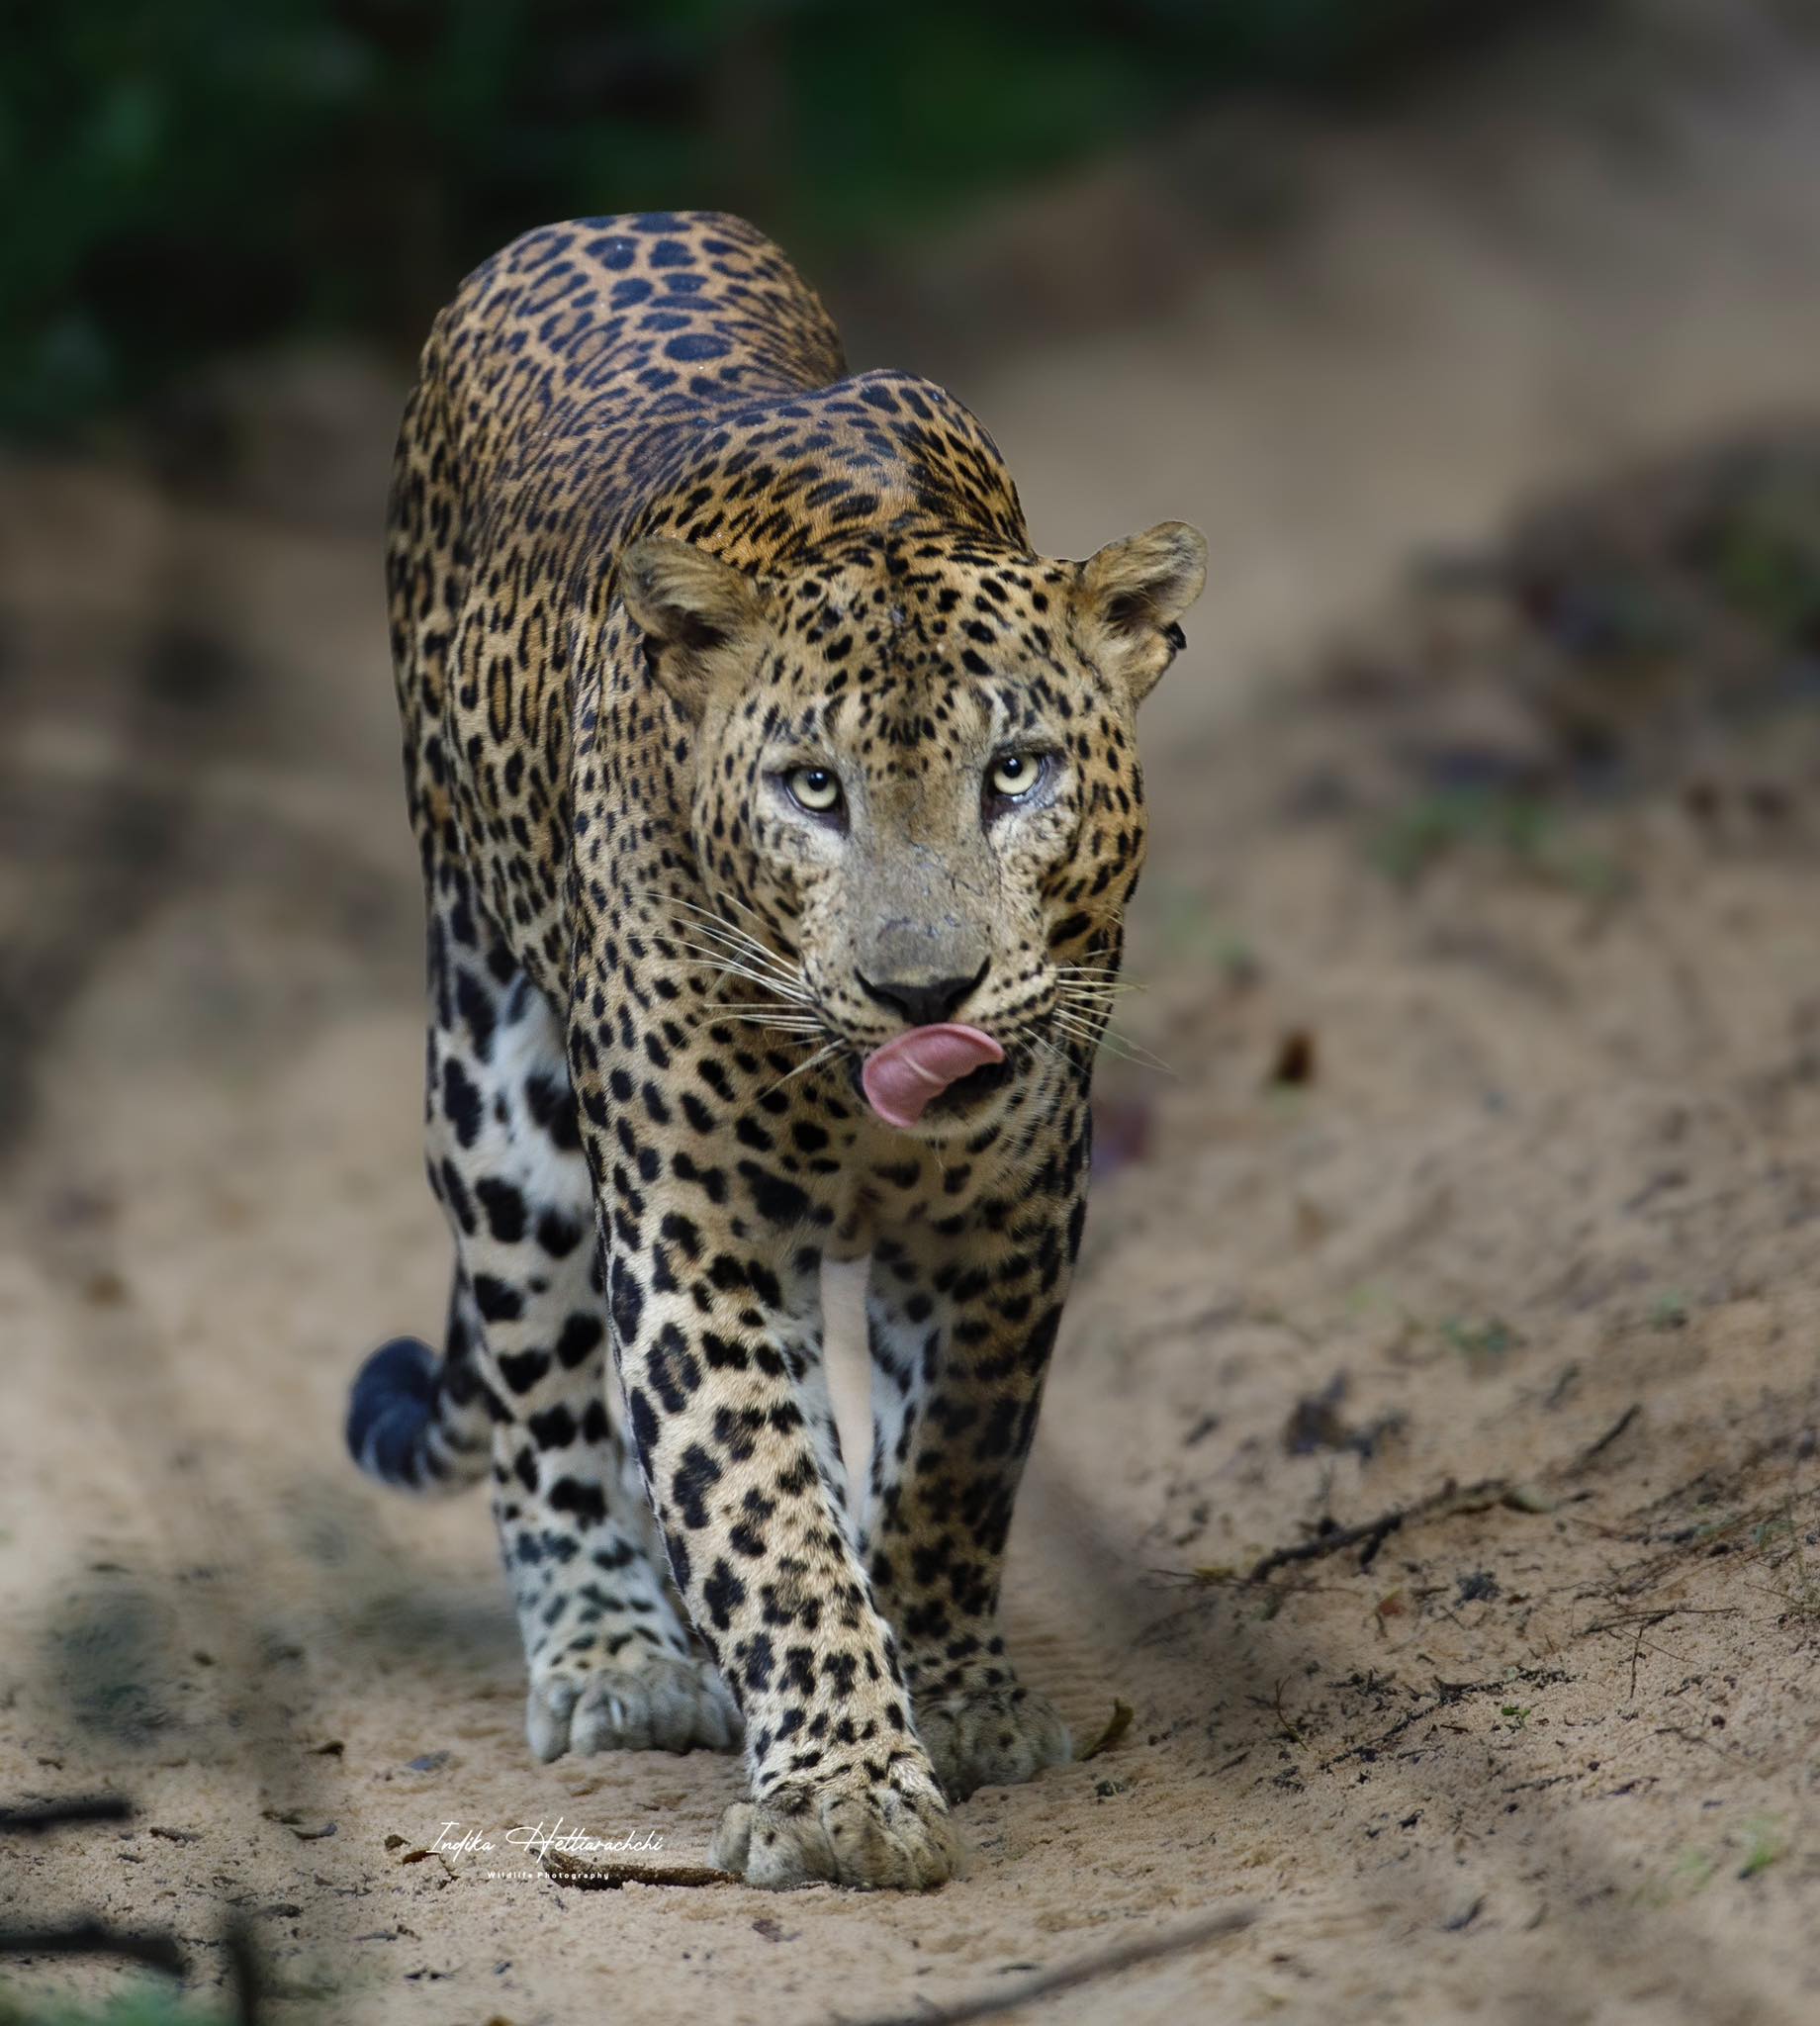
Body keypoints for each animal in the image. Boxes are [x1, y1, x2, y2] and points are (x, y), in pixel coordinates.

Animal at [346, 210, 1205, 1890]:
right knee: (547, 1410)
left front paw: (954, 1695)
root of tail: (588, 223)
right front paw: (842, 1786)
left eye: (1019, 773)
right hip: (502, 1107)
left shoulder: (1013, 1215)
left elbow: (949, 1467)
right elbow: (762, 1512)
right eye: (812, 790)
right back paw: (617, 1658)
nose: (925, 995)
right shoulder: (699, 1235)